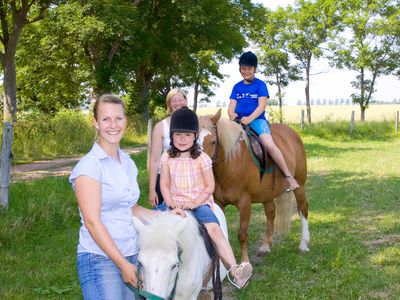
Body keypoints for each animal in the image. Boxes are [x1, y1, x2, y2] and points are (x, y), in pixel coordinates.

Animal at [198, 110, 310, 262]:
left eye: (213, 141)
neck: (231, 162)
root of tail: (293, 133)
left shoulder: (245, 202)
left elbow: (242, 233)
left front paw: (245, 261)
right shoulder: (219, 203)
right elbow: (222, 232)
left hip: (300, 185)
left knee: (303, 209)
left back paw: (304, 244)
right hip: (267, 193)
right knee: (271, 212)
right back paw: (265, 246)